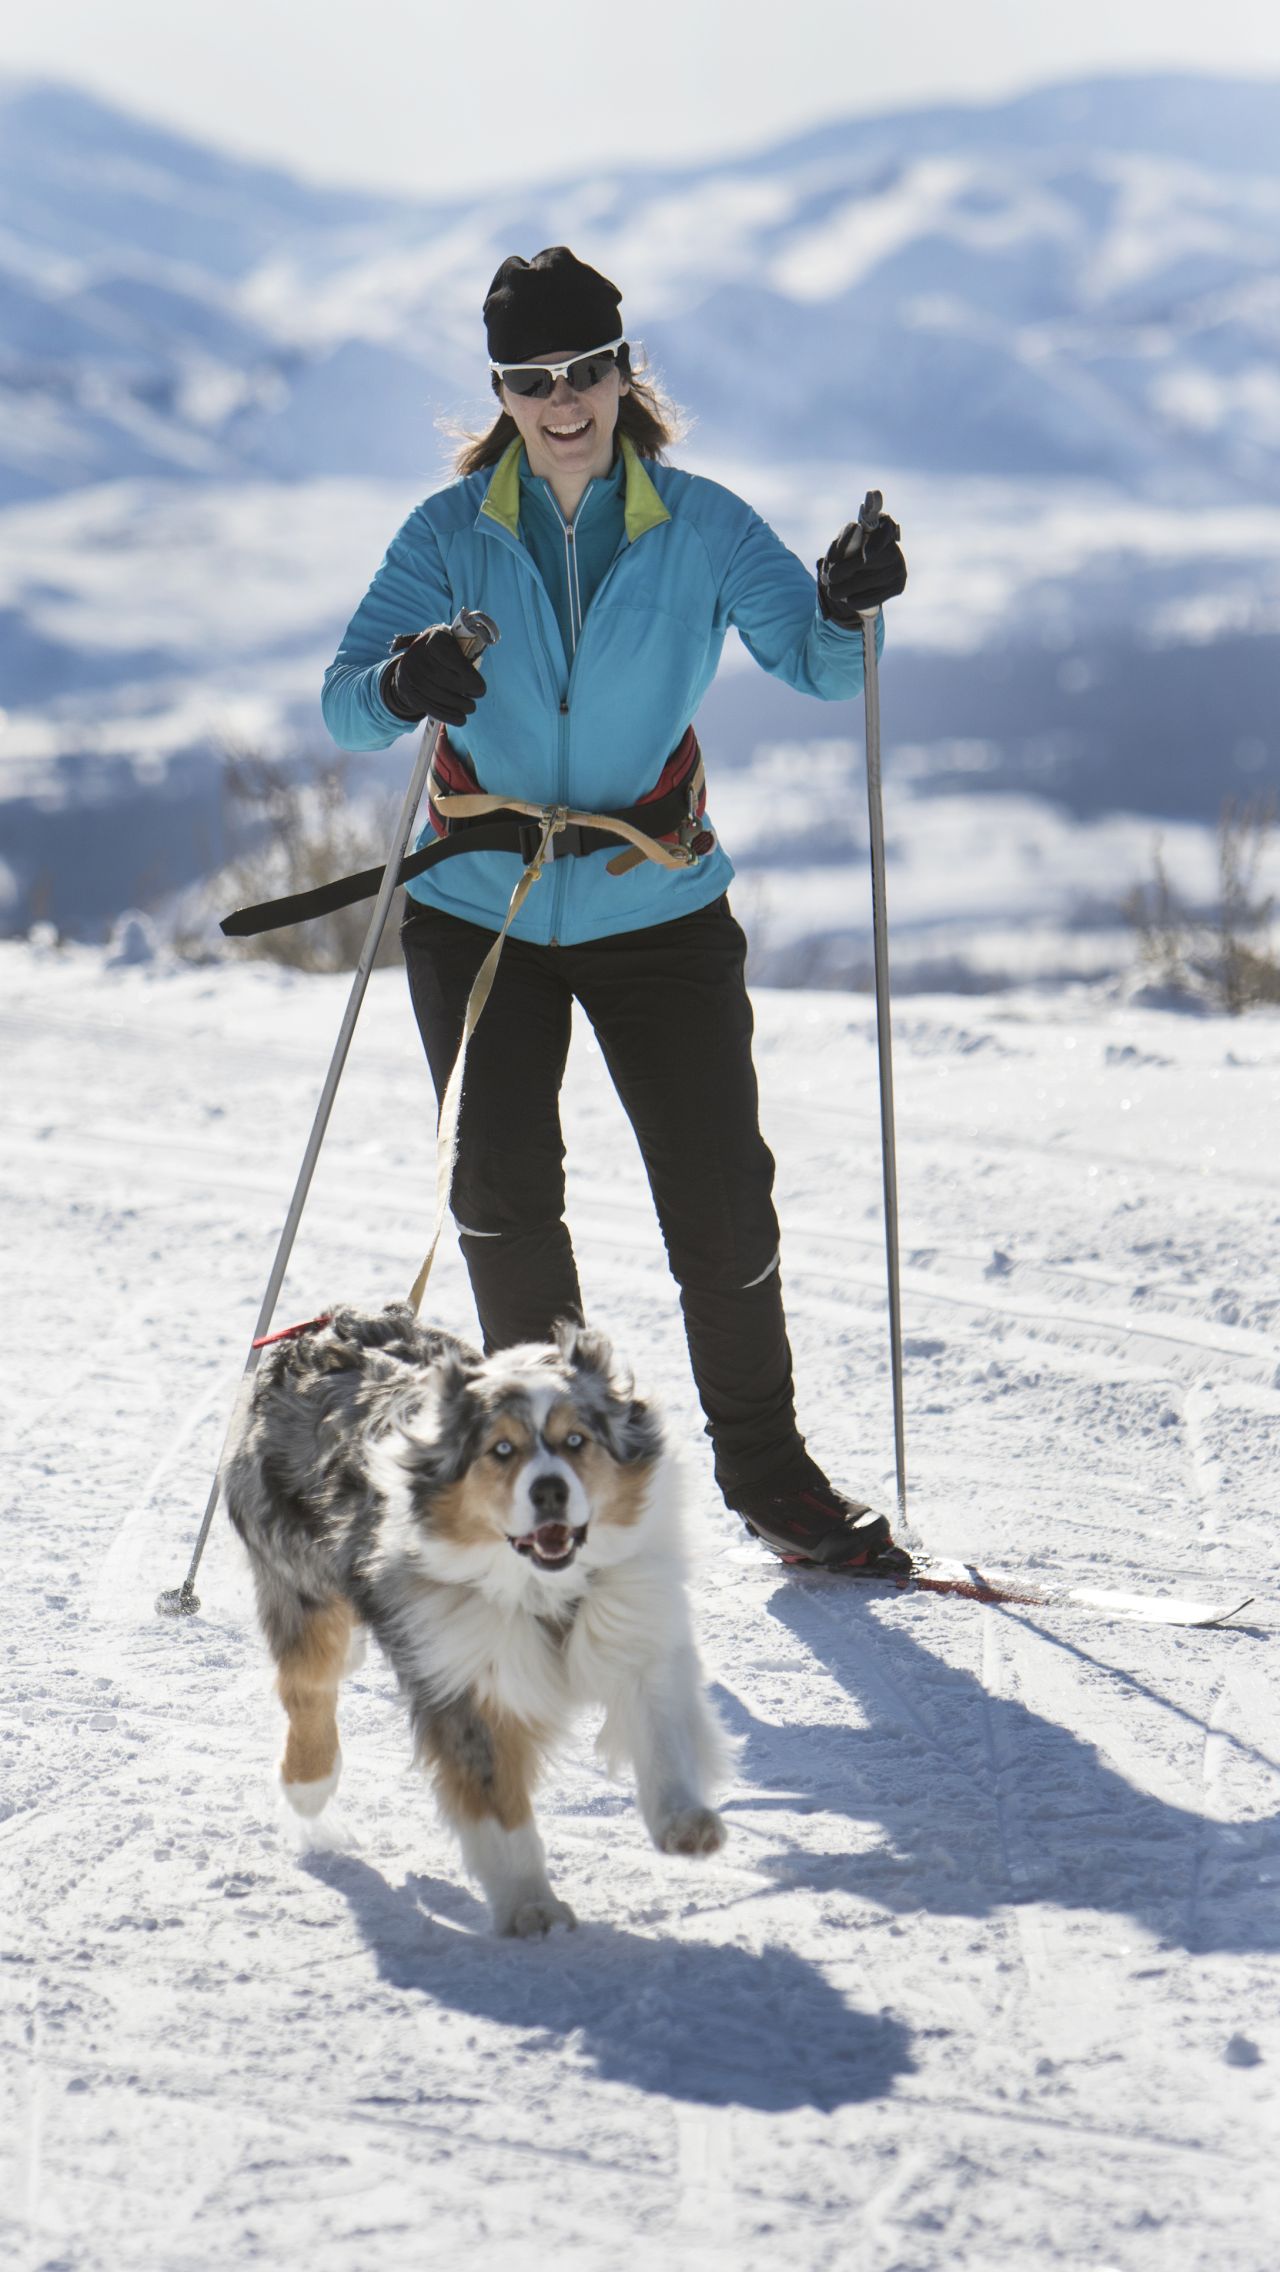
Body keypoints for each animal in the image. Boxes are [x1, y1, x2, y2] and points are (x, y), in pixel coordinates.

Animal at [222, 1308, 732, 1926]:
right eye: (502, 1449)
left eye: (577, 1440)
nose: (550, 1490)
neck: (543, 1589)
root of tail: (317, 1329)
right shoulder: (464, 1679)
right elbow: (497, 1806)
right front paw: (532, 1907)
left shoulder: (634, 1629)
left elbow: (663, 1734)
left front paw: (685, 1824)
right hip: (300, 1584)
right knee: (309, 1687)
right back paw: (309, 1786)